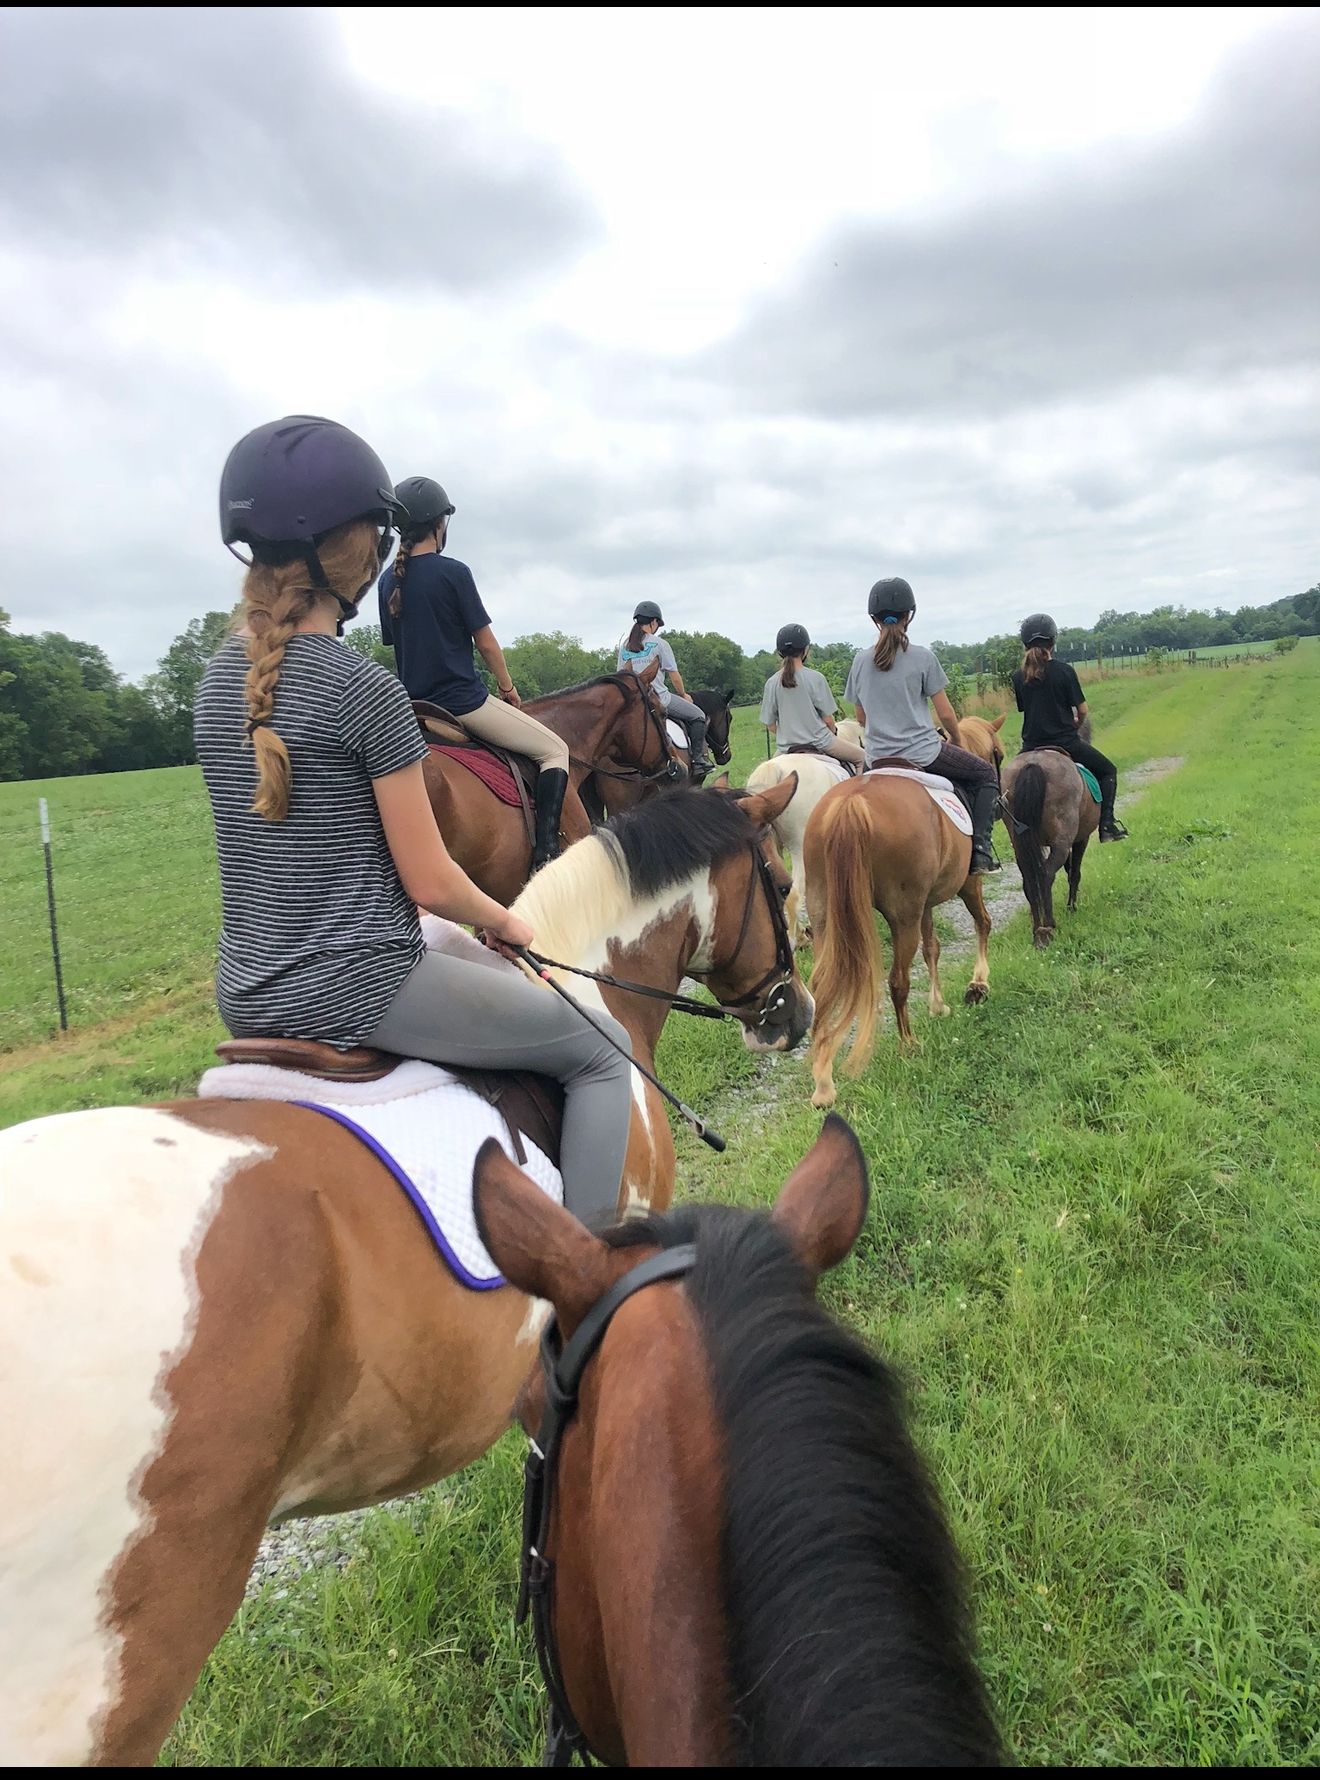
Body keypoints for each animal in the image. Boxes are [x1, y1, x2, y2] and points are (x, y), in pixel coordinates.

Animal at [803, 774, 992, 1106]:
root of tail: (852, 801)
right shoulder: (967, 884)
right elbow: (981, 923)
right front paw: (978, 984)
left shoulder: (925, 905)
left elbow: (933, 949)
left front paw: (938, 1005)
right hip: (904, 916)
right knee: (898, 981)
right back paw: (908, 1044)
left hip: (823, 915)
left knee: (822, 984)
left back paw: (824, 1085)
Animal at [1000, 748, 1100, 947]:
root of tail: (1033, 763)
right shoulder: (1080, 839)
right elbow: (1074, 873)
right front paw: (1071, 908)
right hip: (1062, 842)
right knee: (1047, 875)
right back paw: (1048, 928)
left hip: (1021, 848)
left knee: (1030, 879)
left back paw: (1037, 929)